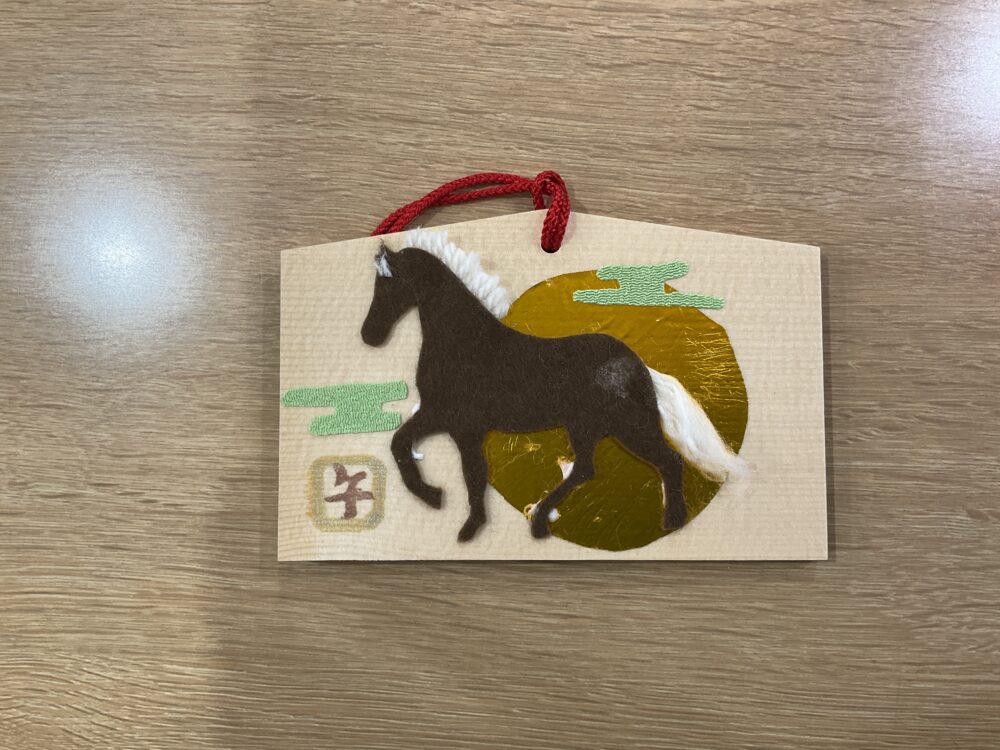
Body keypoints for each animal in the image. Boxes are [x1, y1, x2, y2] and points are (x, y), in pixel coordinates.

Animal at [361, 229, 746, 543]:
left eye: (388, 284)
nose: (369, 335)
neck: (466, 342)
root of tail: (638, 365)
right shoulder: (450, 421)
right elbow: (427, 454)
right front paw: (449, 508)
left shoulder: (453, 420)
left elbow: (442, 462)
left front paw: (445, 508)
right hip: (587, 426)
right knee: (587, 469)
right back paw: (540, 521)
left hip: (629, 425)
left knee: (668, 461)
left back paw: (672, 521)